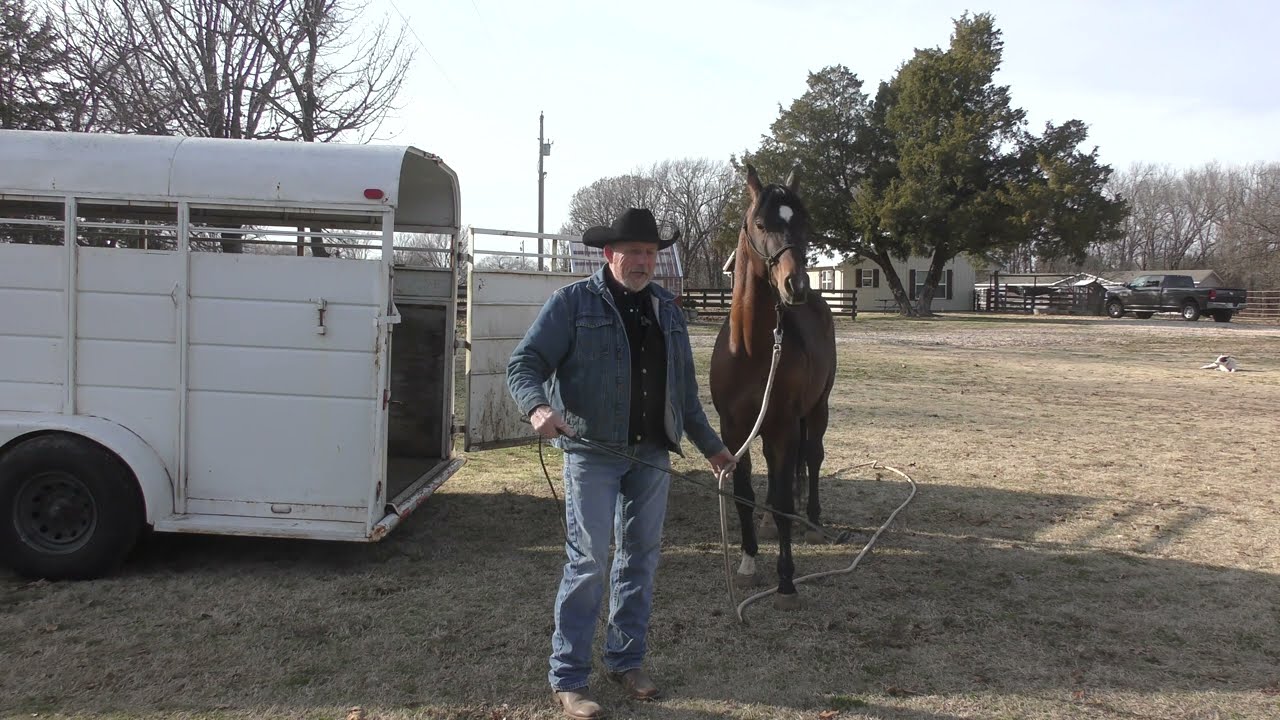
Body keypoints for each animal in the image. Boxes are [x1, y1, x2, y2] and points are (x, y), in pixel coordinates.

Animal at [709, 163, 837, 611]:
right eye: (761, 224)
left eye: (803, 224)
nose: (795, 286)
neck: (752, 350)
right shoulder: (734, 429)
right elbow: (744, 493)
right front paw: (748, 563)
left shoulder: (783, 425)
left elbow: (784, 500)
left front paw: (786, 581)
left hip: (817, 409)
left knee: (812, 457)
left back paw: (812, 521)